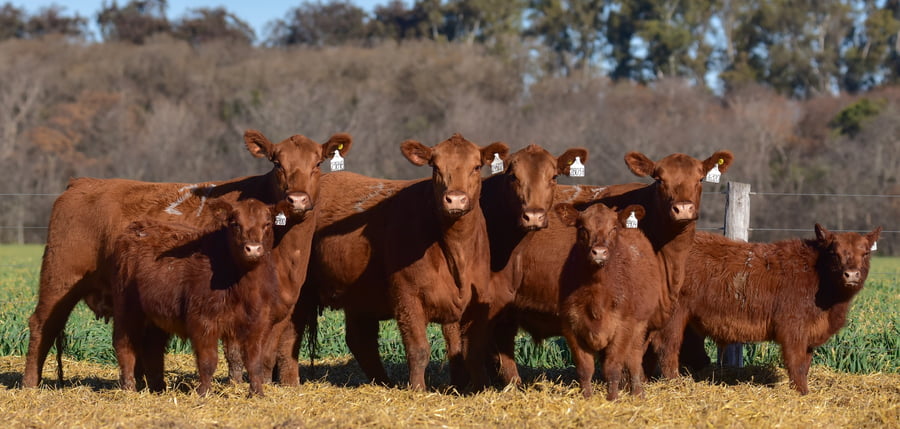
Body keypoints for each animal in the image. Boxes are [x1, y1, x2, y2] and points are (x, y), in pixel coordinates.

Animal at [112, 198, 284, 396]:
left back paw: (158, 387)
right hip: (127, 309)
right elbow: (208, 361)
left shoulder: (259, 322)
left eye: (267, 223)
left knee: (153, 347)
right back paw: (128, 387)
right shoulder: (203, 321)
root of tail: (137, 227)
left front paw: (257, 393)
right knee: (125, 346)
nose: (253, 249)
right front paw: (204, 392)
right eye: (235, 224)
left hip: (155, 315)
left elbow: (254, 362)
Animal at [297, 133, 509, 390]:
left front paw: (467, 387)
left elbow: (463, 350)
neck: (456, 254)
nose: (455, 199)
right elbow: (419, 349)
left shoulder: (470, 300)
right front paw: (417, 389)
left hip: (359, 296)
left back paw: (383, 383)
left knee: (360, 340)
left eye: (476, 167)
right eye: (435, 167)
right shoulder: (407, 295)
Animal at [554, 202, 663, 400]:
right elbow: (585, 368)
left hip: (640, 326)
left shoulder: (624, 327)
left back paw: (637, 393)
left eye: (613, 229)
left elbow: (613, 367)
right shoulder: (571, 326)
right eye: (583, 229)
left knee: (634, 359)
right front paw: (587, 398)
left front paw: (612, 399)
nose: (599, 252)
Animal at [656, 225, 882, 394]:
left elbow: (806, 364)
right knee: (668, 348)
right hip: (674, 317)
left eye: (865, 253)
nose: (851, 274)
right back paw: (674, 383)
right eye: (834, 253)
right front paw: (802, 392)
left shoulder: (809, 335)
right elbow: (797, 364)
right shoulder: (793, 329)